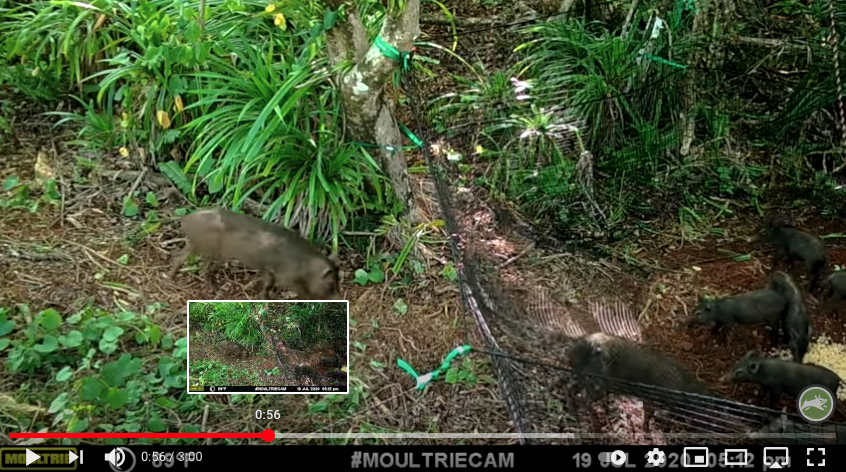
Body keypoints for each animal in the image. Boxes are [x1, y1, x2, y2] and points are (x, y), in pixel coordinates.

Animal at [168, 207, 342, 300]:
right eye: (330, 283)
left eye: (339, 279)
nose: (340, 298)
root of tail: (185, 219)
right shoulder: (283, 275)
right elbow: (270, 286)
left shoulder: (268, 269)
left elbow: (265, 282)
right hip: (206, 248)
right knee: (196, 263)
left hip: (202, 248)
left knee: (185, 258)